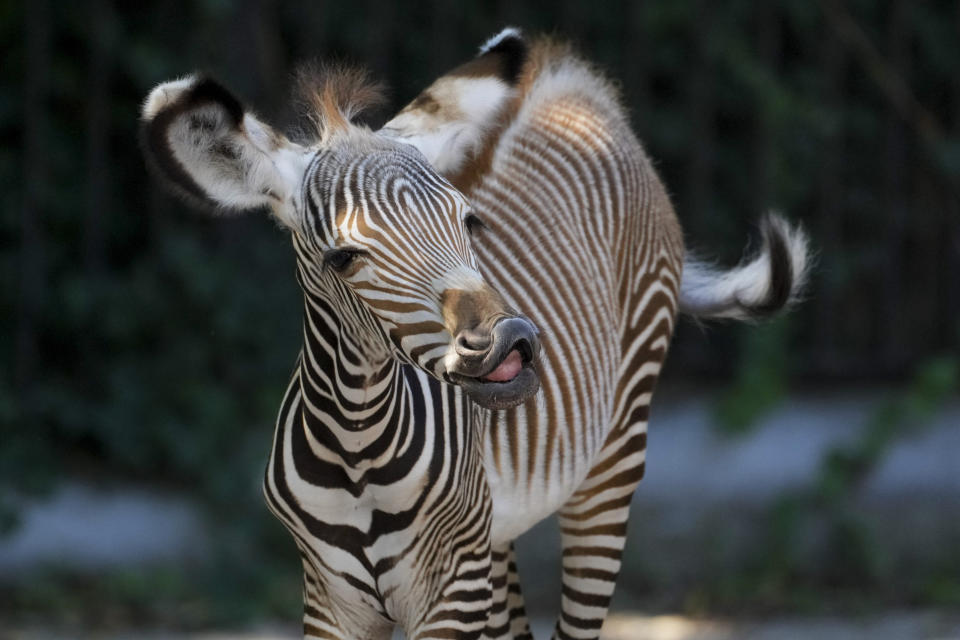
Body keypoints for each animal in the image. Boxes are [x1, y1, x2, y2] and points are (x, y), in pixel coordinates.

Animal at [139, 28, 808, 640]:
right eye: (345, 257)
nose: (512, 341)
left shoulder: (452, 592)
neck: (360, 453)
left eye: (468, 221)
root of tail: (574, 85)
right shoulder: (331, 600)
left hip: (614, 451)